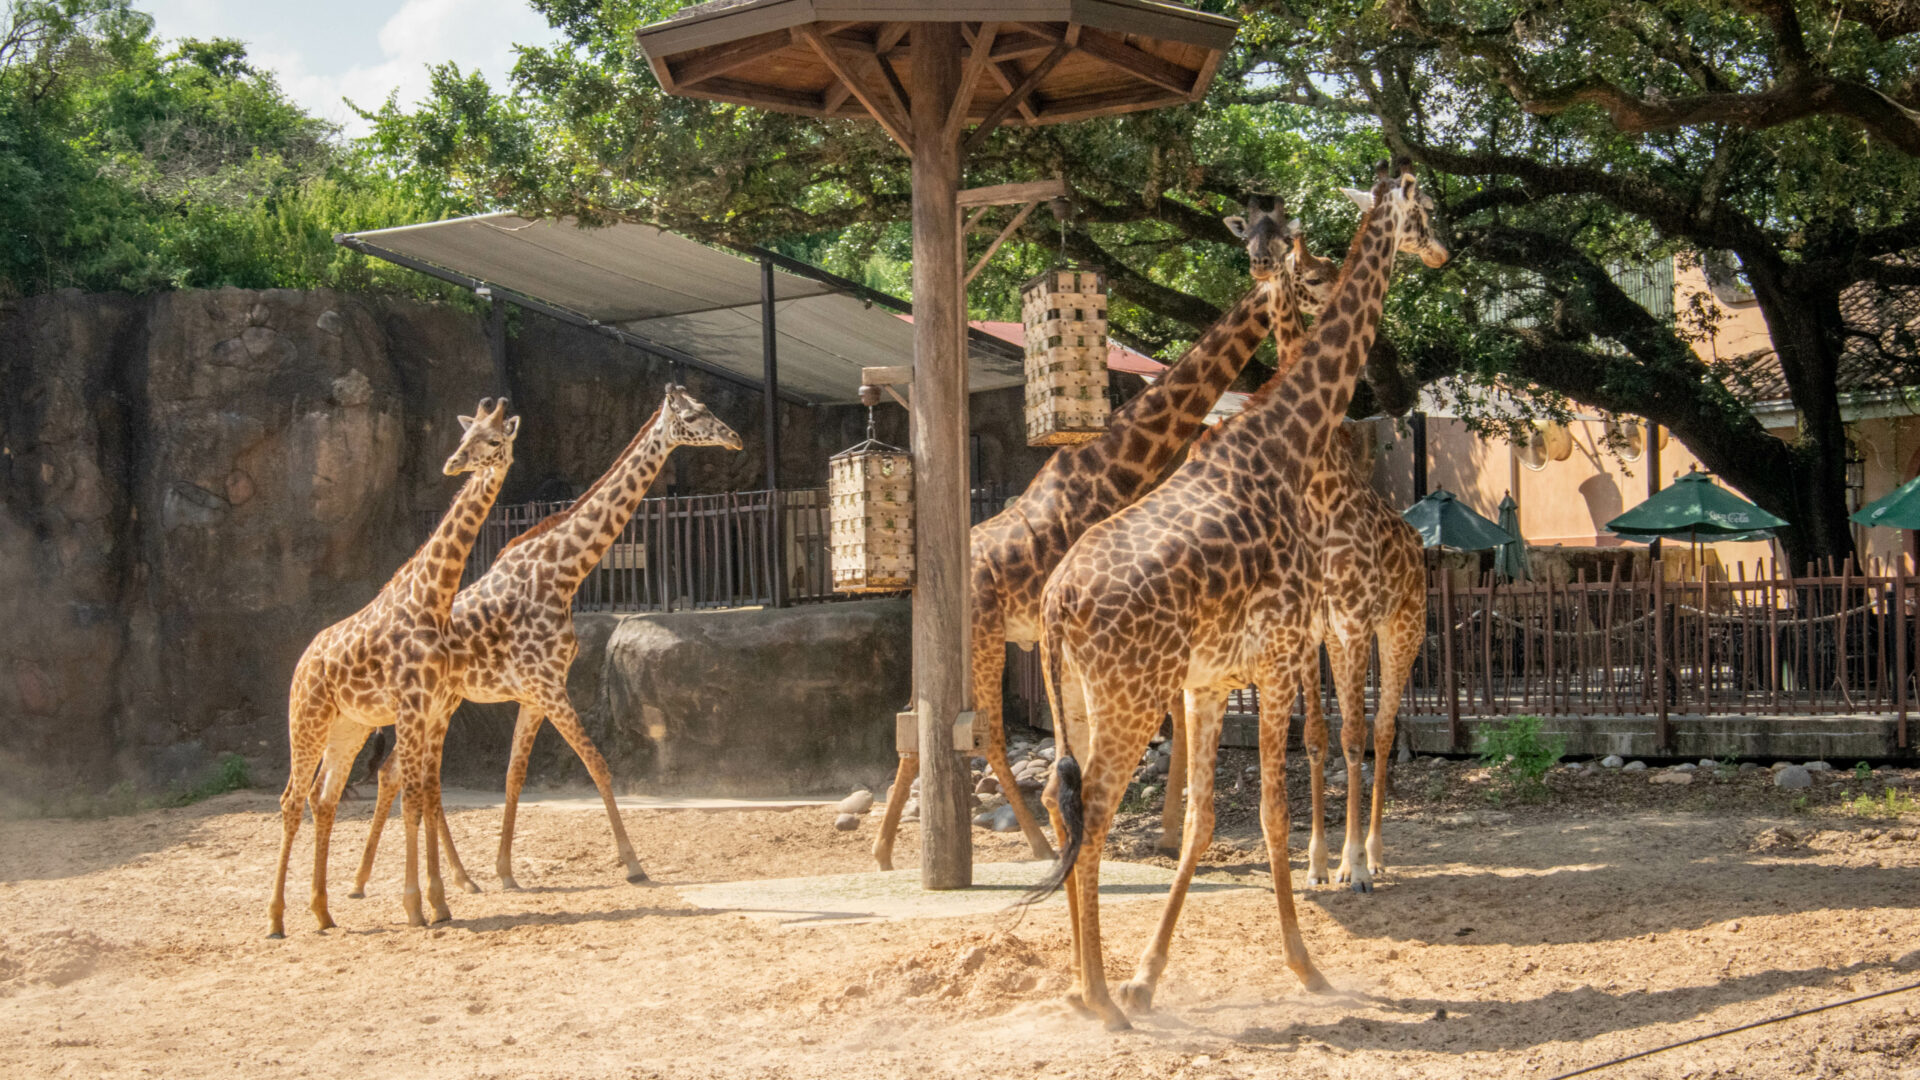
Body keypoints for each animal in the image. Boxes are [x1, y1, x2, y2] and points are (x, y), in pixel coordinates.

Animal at [270, 395, 522, 933]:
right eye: (466, 436)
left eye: (494, 439)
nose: (453, 463)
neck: (434, 598)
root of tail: (302, 661)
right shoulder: (411, 708)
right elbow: (412, 798)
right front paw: (415, 906)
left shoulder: (429, 710)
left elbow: (423, 795)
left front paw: (439, 902)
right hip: (306, 720)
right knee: (291, 799)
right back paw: (276, 920)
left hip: (348, 729)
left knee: (323, 800)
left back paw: (322, 912)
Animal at [345, 382, 741, 887]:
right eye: (694, 415)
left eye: (706, 408)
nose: (734, 438)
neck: (562, 571)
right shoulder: (549, 685)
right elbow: (598, 764)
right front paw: (633, 864)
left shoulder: (534, 694)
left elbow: (514, 775)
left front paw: (504, 870)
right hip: (430, 705)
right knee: (401, 771)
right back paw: (397, 879)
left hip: (441, 703)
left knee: (404, 771)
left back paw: (433, 877)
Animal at [871, 195, 1320, 864]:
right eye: (1258, 241)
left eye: (1284, 237)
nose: (1265, 263)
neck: (1118, 465)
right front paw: (1150, 832)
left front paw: (1163, 831)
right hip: (984, 639)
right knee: (984, 733)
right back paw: (1036, 844)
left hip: (952, 648)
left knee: (911, 725)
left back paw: (883, 851)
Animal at [1036, 161, 1443, 1022]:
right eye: (1426, 208)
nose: (1443, 253)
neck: (1290, 446)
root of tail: (1056, 605)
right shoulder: (1281, 656)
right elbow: (1272, 813)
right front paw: (1308, 966)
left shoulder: (1213, 679)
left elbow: (1204, 819)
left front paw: (1149, 974)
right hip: (1133, 696)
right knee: (1094, 815)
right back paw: (1101, 1001)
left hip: (1082, 698)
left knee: (1063, 803)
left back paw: (1090, 991)